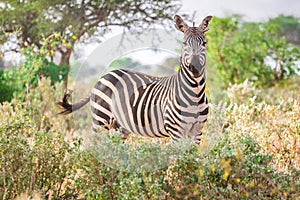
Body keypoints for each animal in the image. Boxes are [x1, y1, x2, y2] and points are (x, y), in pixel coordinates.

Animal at [57, 15, 212, 144]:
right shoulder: (176, 131)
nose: (195, 68)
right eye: (185, 43)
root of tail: (104, 76)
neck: (195, 92)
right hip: (101, 119)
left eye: (204, 43)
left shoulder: (197, 131)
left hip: (120, 127)